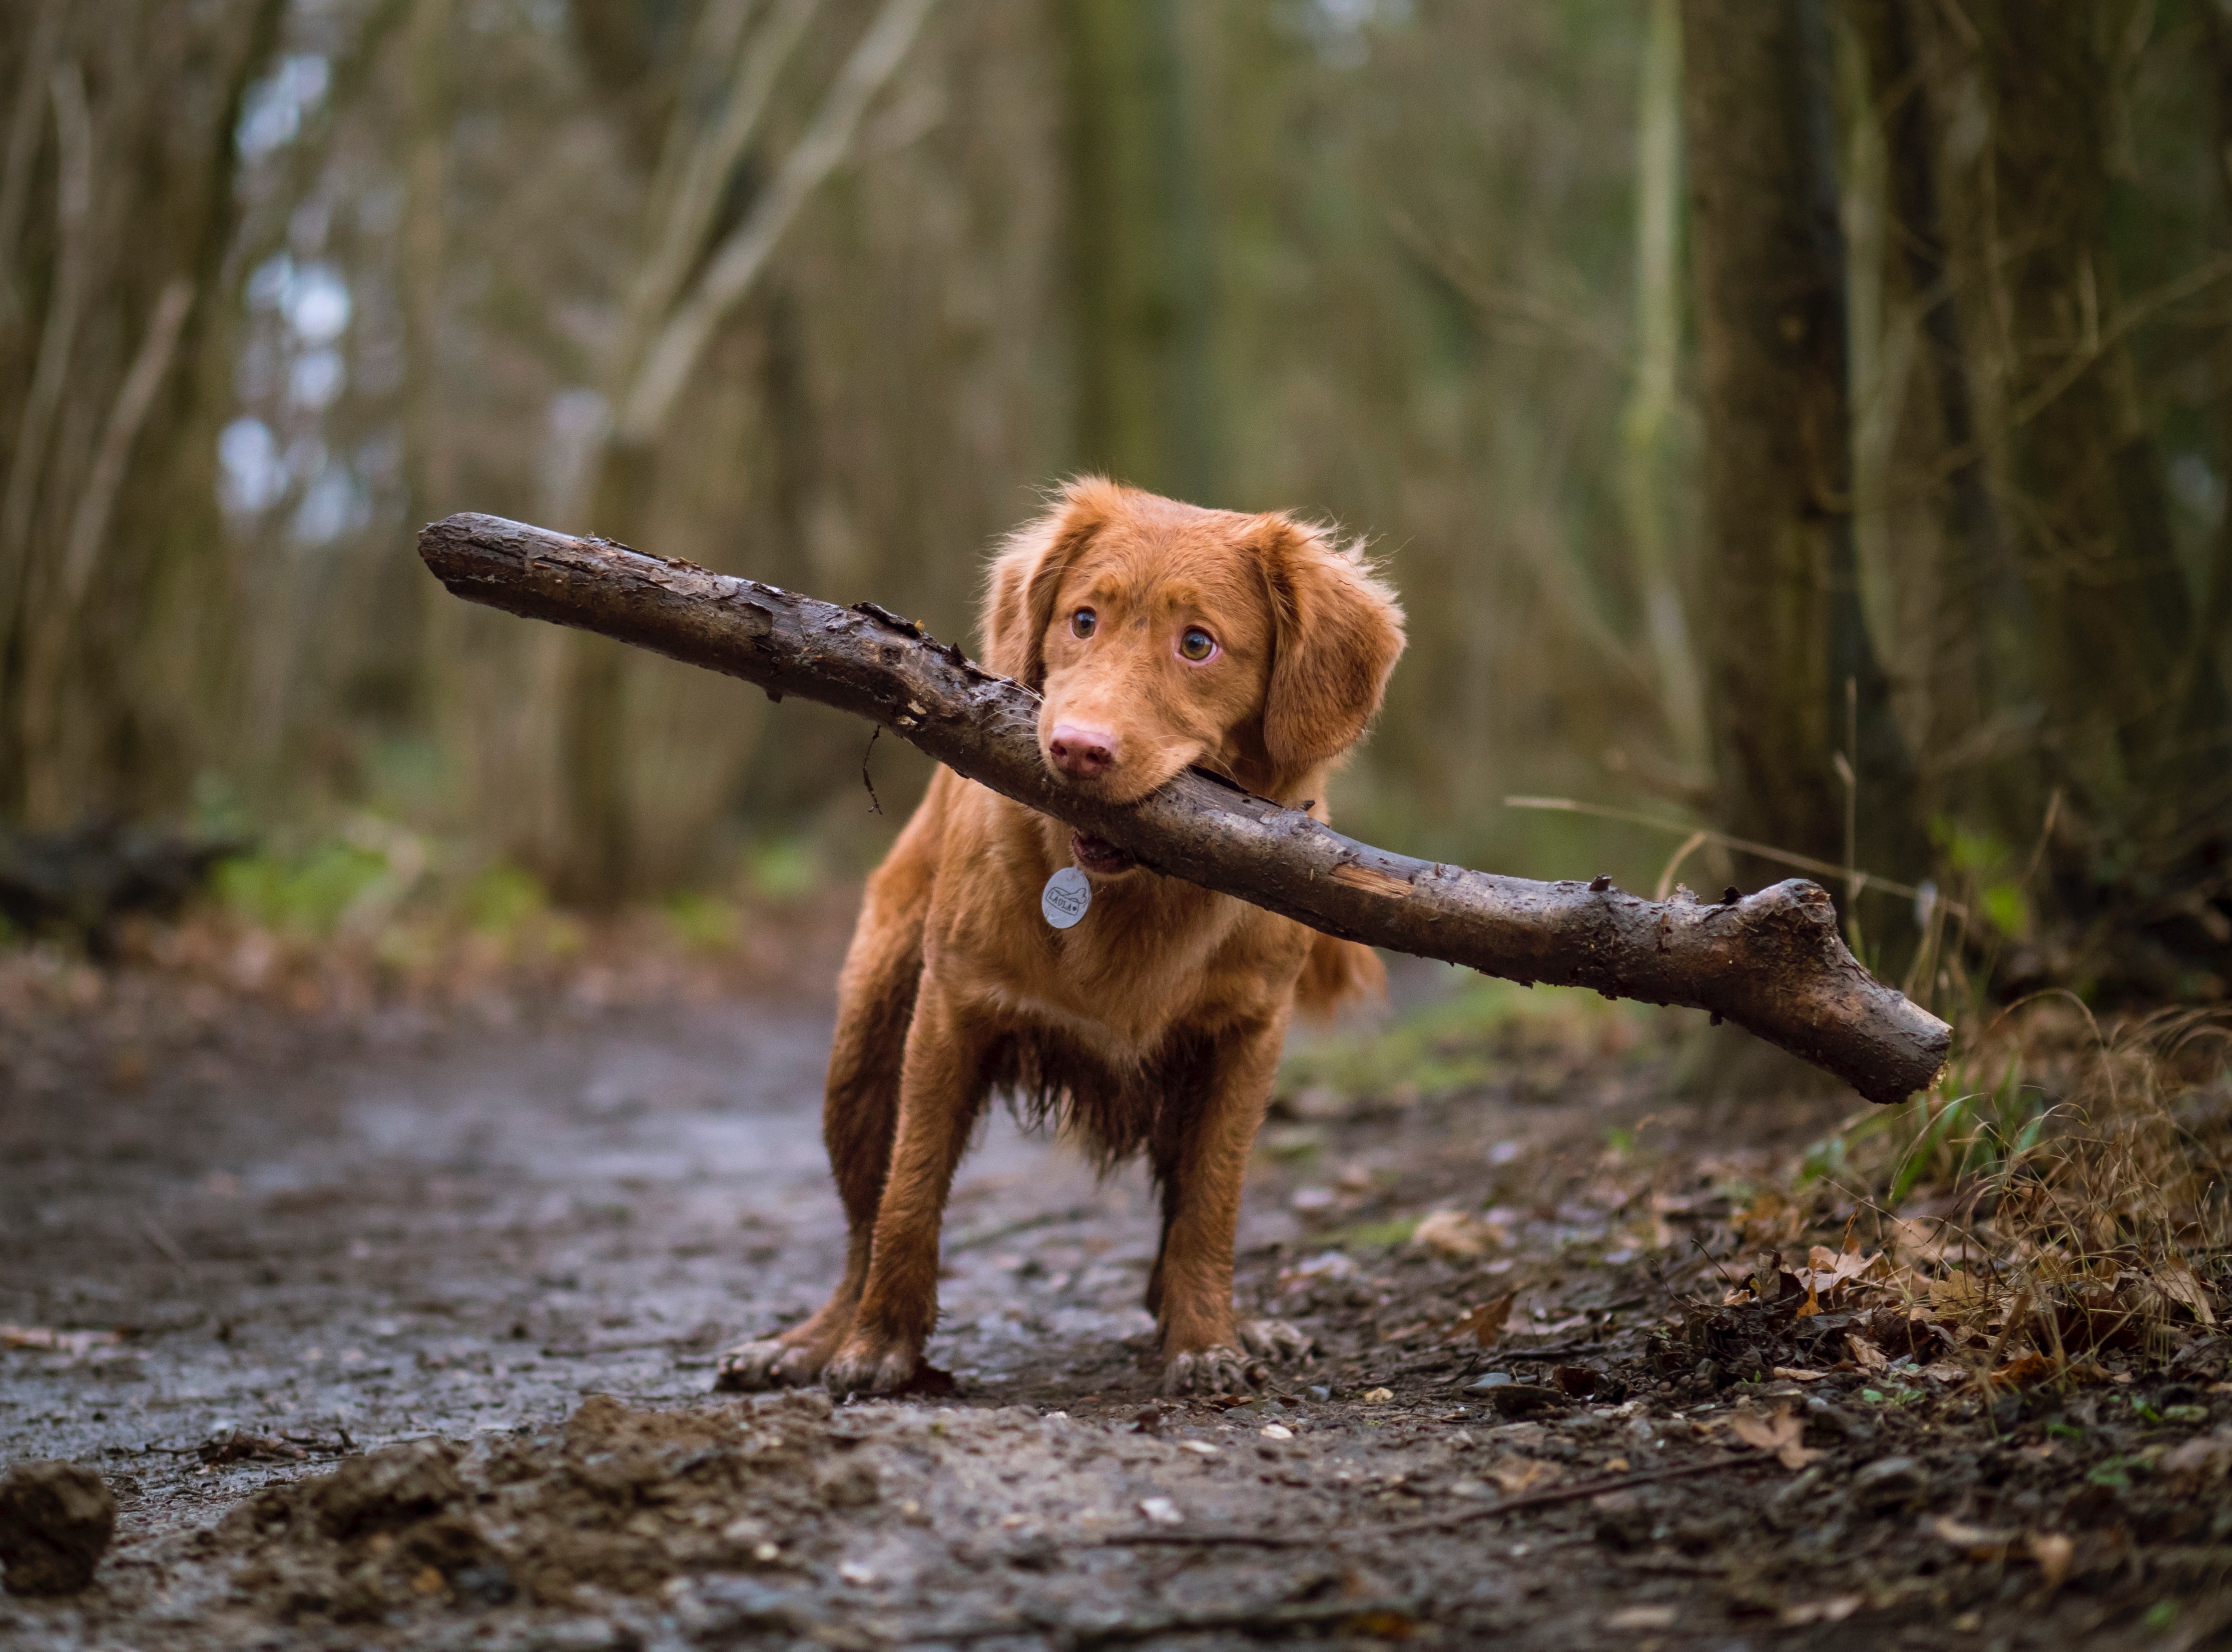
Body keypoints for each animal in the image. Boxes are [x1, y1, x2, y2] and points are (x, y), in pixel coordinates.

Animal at [714, 477, 1401, 1393]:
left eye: (1198, 644)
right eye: (1083, 619)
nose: (1077, 749)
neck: (1133, 894)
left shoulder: (1247, 1037)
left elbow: (1211, 1202)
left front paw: (1207, 1339)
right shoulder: (950, 1011)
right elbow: (909, 1192)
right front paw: (880, 1345)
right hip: (864, 1047)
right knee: (863, 1221)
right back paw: (814, 1339)